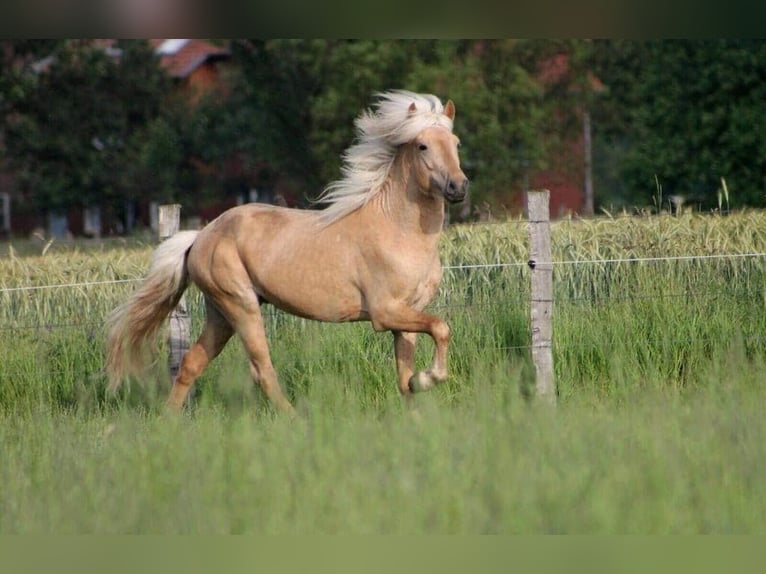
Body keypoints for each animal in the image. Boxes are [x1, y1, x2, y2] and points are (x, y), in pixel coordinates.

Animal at [106, 91, 468, 414]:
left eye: (456, 143)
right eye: (422, 146)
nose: (459, 187)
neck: (396, 230)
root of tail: (201, 237)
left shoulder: (408, 315)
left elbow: (404, 375)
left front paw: (415, 403)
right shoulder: (385, 312)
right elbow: (442, 328)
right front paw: (428, 378)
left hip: (220, 314)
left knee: (192, 363)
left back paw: (168, 421)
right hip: (241, 306)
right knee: (261, 369)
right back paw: (293, 419)